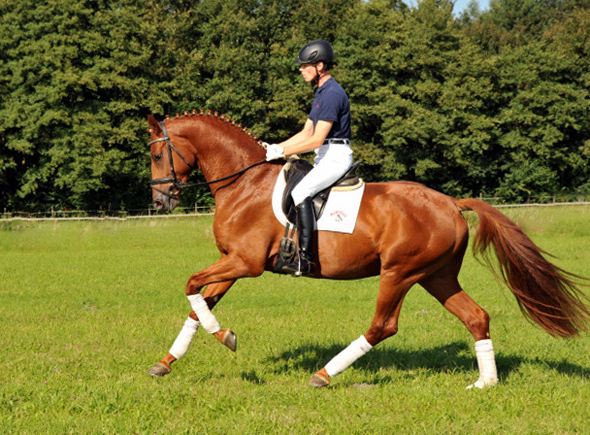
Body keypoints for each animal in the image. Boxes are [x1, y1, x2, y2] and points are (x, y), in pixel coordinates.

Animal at [146, 111, 588, 388]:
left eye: (156, 153)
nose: (160, 201)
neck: (243, 184)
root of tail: (450, 202)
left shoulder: (244, 262)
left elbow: (191, 285)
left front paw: (225, 336)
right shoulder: (232, 263)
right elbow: (198, 304)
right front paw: (167, 363)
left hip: (400, 273)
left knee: (383, 326)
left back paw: (324, 375)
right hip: (437, 276)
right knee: (476, 317)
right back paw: (485, 382)